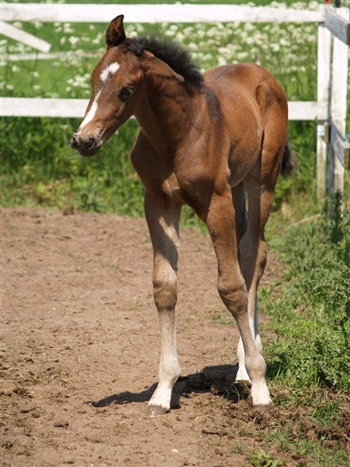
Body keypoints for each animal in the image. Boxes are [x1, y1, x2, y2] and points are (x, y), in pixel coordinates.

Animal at [70, 15, 296, 416]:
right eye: (94, 80)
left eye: (126, 90)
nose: (83, 140)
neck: (179, 133)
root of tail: (260, 72)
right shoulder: (159, 203)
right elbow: (165, 287)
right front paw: (163, 391)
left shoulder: (215, 203)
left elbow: (231, 287)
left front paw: (260, 386)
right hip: (237, 187)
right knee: (247, 247)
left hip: (261, 181)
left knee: (255, 254)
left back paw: (246, 366)